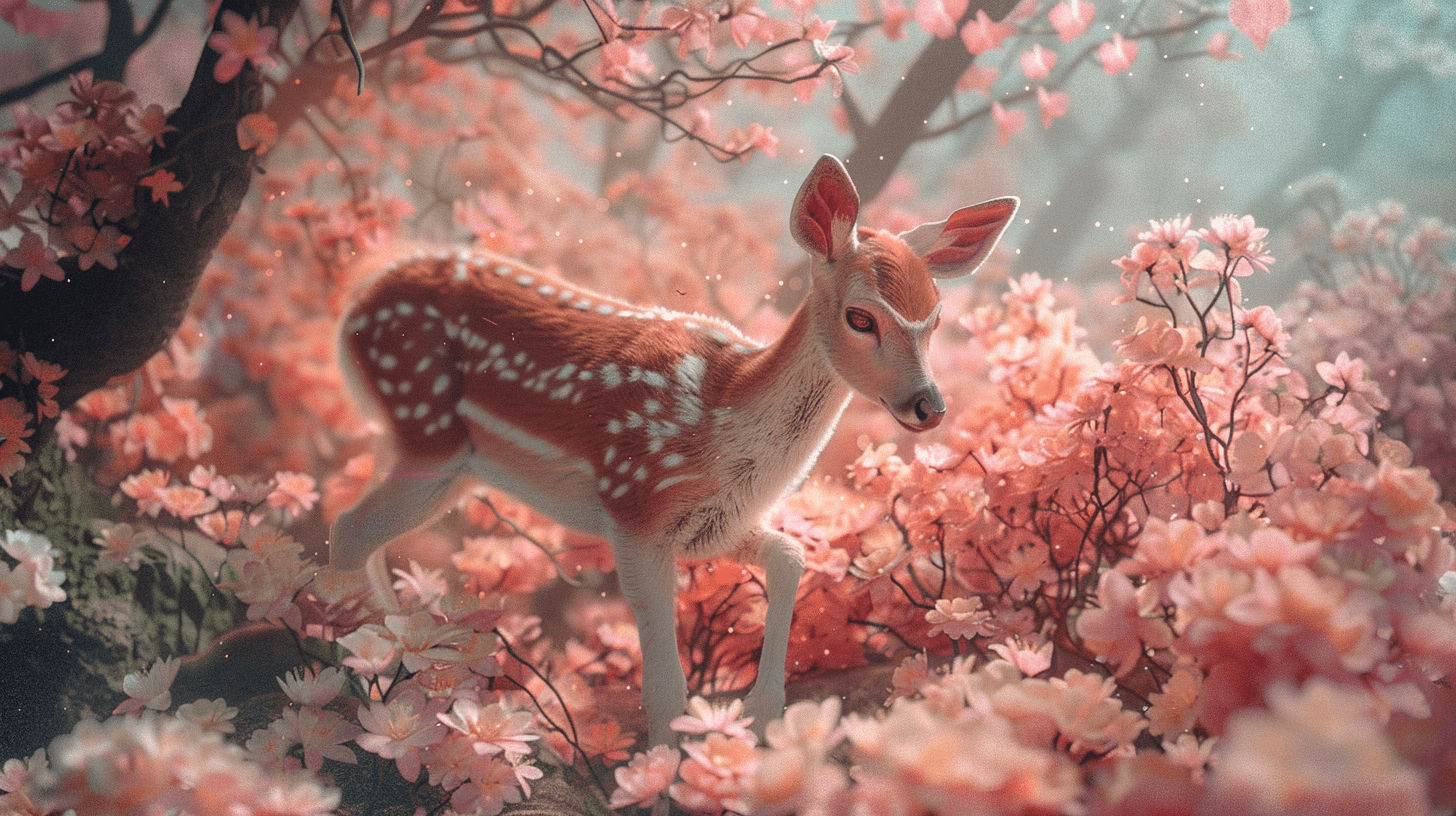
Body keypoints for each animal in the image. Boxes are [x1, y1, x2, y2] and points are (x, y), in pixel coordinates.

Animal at [329, 155, 1017, 746]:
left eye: (935, 318)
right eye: (861, 317)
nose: (929, 406)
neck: (723, 418)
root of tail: (354, 305)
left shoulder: (718, 524)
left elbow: (790, 556)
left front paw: (763, 711)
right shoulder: (634, 507)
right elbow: (664, 688)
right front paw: (664, 765)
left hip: (455, 464)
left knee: (359, 535)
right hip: (430, 436)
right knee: (349, 530)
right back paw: (381, 677)